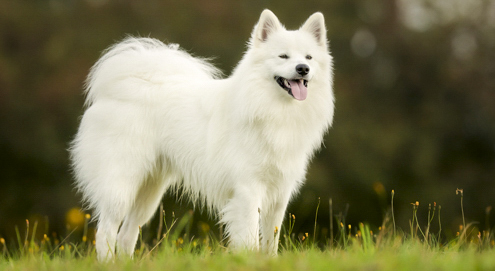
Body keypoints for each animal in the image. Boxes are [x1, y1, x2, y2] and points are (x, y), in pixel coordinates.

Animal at [70, 9, 334, 262]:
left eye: (309, 57)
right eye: (283, 56)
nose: (303, 69)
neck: (273, 108)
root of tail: (119, 88)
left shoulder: (279, 192)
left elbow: (271, 239)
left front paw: (271, 262)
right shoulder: (248, 190)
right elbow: (250, 238)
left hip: (149, 190)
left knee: (126, 233)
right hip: (121, 185)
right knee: (105, 230)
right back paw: (108, 263)